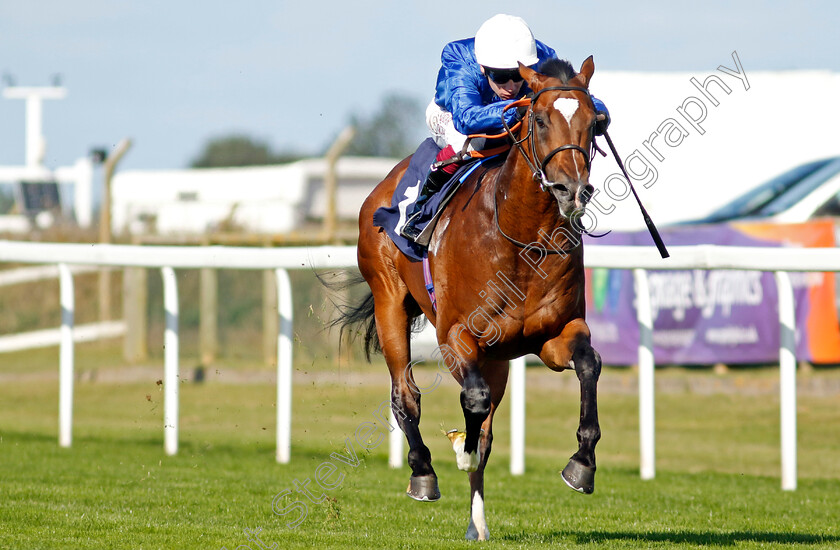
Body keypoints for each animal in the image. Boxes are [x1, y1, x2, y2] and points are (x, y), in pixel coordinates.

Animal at [336, 57, 604, 544]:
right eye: (539, 119)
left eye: (595, 122)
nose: (571, 190)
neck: (522, 240)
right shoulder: (457, 335)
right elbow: (473, 401)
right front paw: (461, 446)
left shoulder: (554, 336)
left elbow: (588, 364)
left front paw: (582, 464)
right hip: (389, 302)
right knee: (405, 394)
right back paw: (423, 472)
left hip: (497, 357)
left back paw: (476, 524)